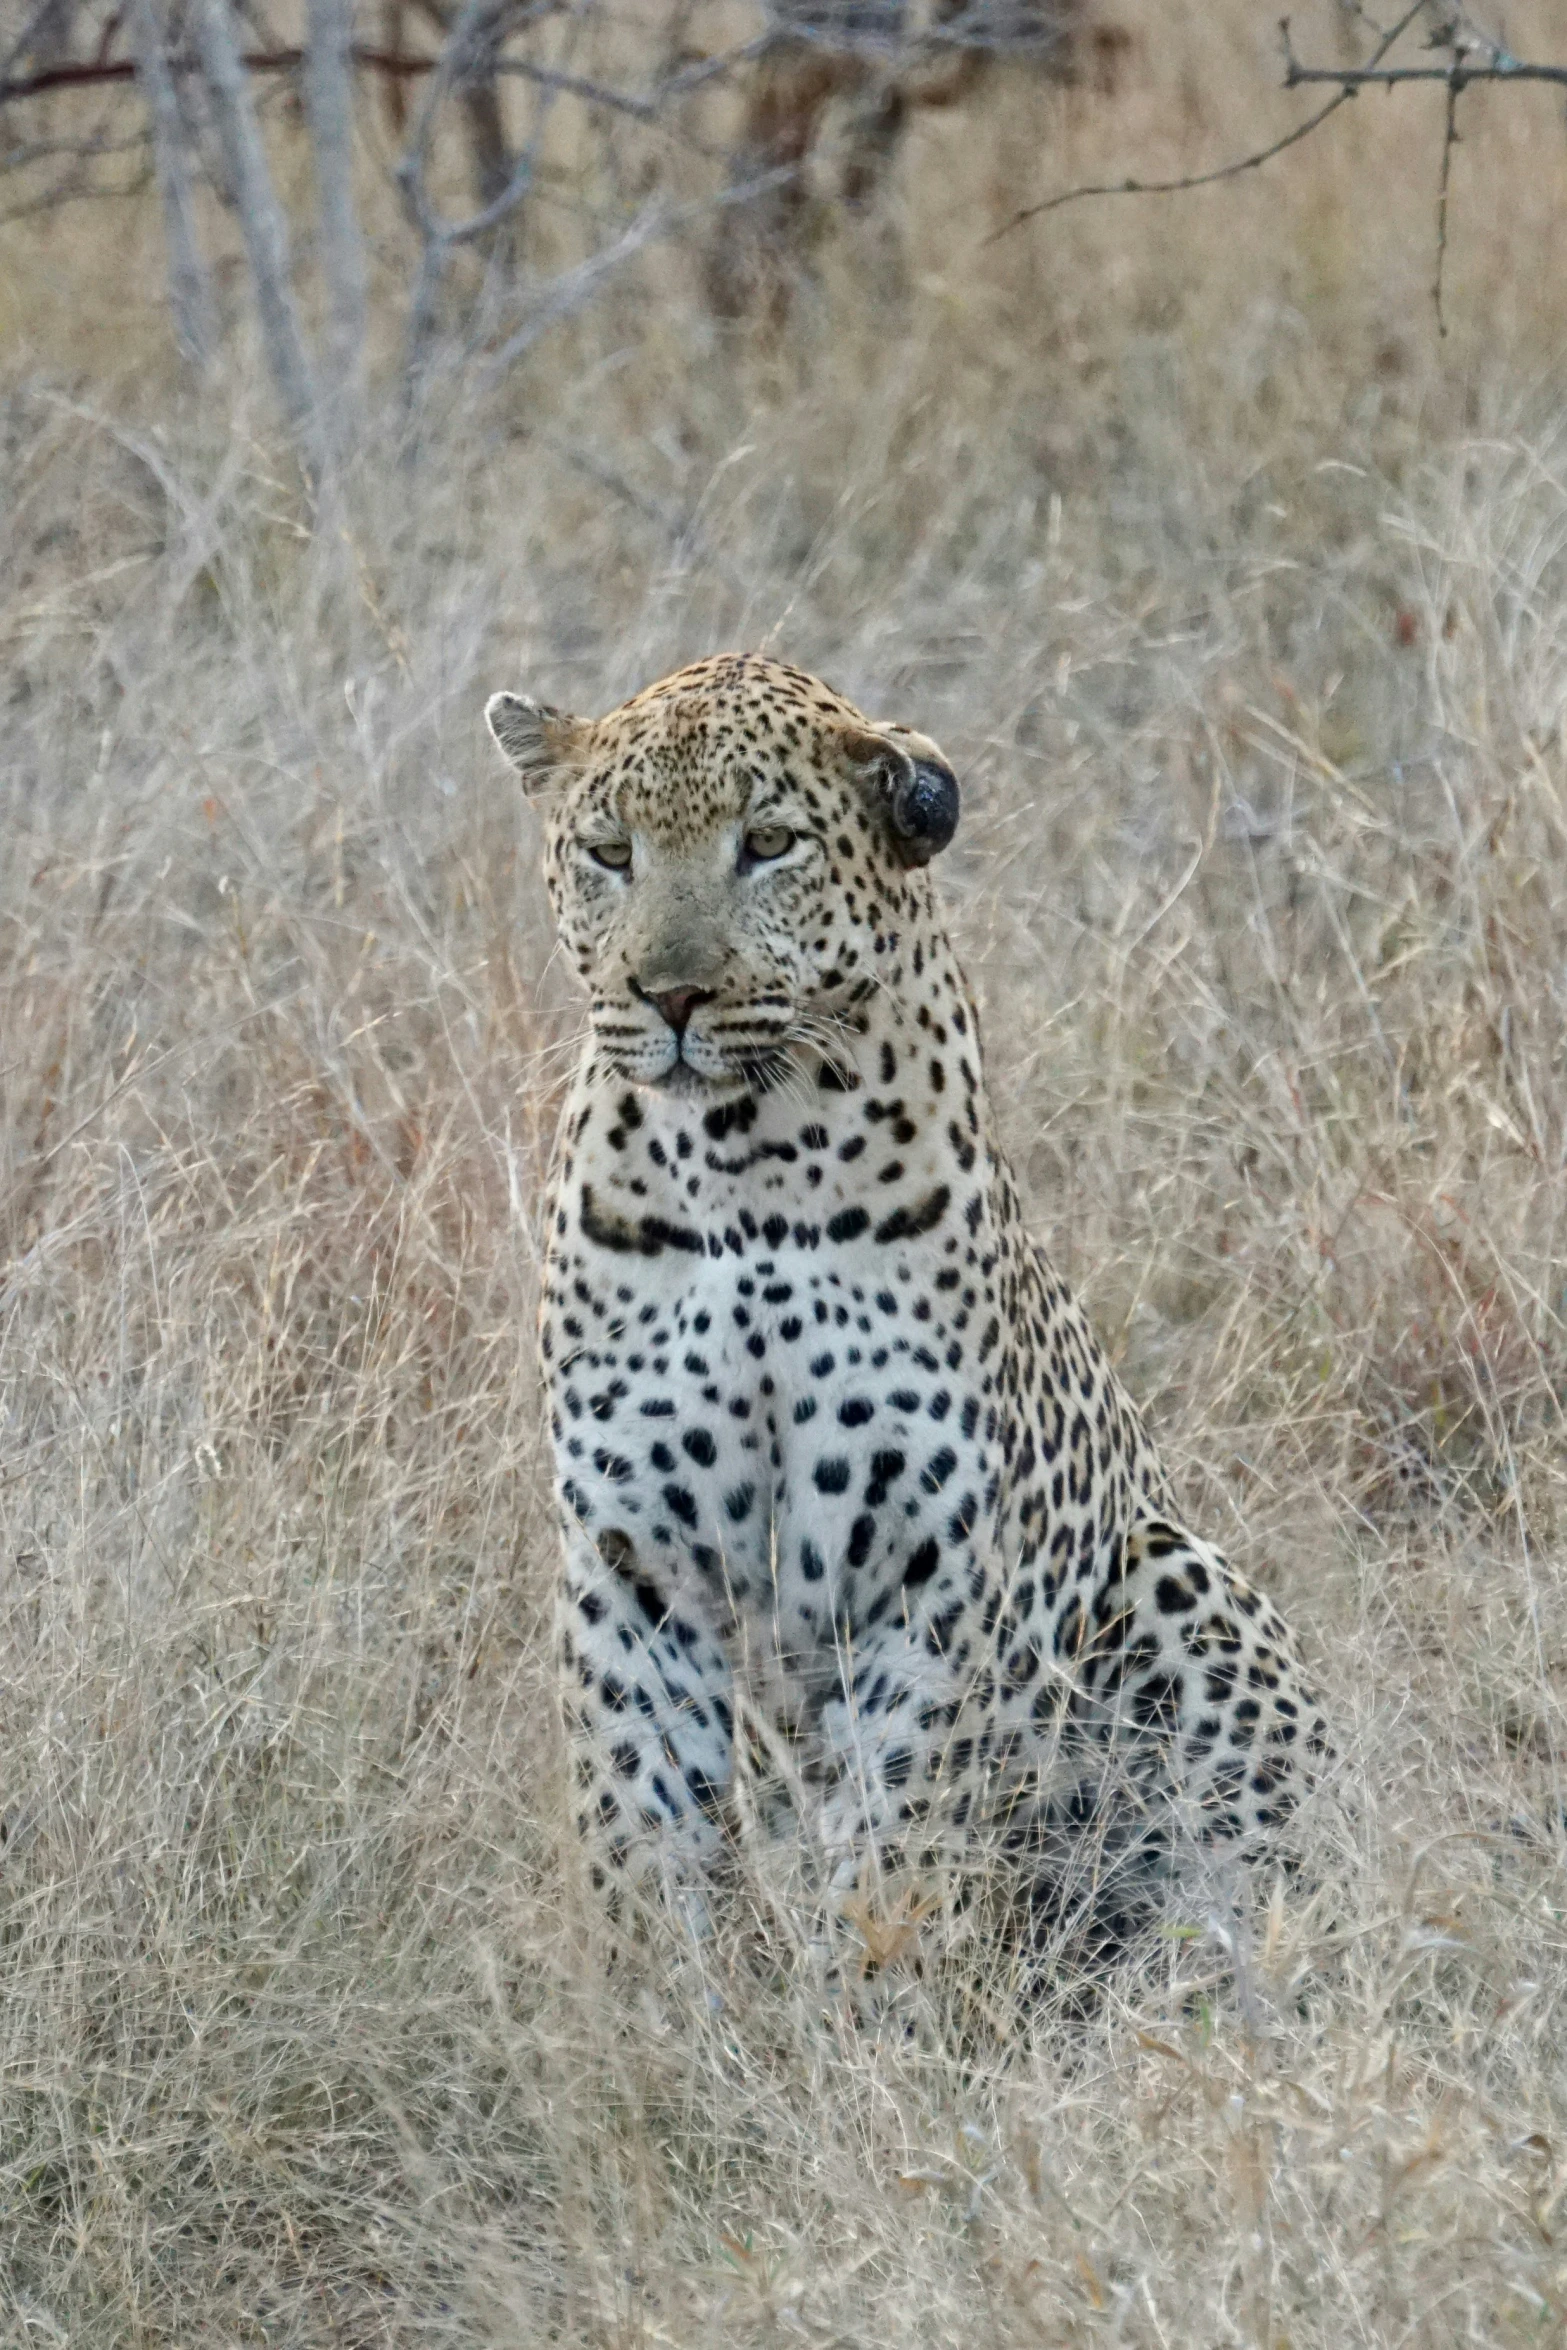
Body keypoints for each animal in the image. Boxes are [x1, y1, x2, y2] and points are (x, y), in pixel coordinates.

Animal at [483, 653, 1334, 1973]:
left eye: (767, 843)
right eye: (609, 851)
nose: (668, 995)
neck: (742, 1164)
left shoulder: (935, 1566)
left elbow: (900, 1845)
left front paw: (869, 2005)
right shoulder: (633, 1559)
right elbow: (641, 1824)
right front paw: (663, 2008)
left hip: (1174, 1572)